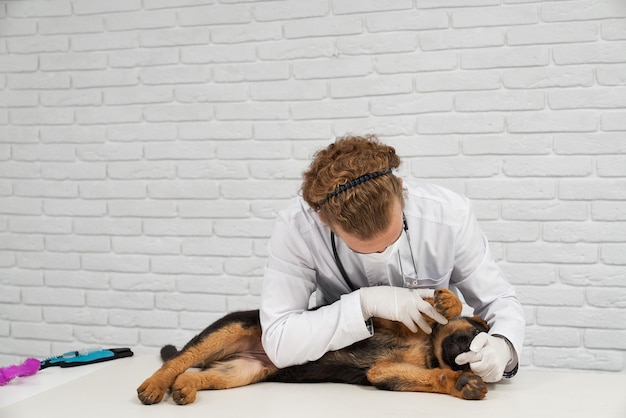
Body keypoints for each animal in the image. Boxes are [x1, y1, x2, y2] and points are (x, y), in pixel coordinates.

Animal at [135, 290, 488, 404]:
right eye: (476, 331)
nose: (470, 347)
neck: (428, 346)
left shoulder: (383, 371)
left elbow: (434, 377)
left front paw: (460, 383)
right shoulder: (383, 317)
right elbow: (417, 307)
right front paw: (449, 303)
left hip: (239, 371)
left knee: (195, 373)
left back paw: (184, 388)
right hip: (230, 328)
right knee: (177, 360)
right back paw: (154, 385)